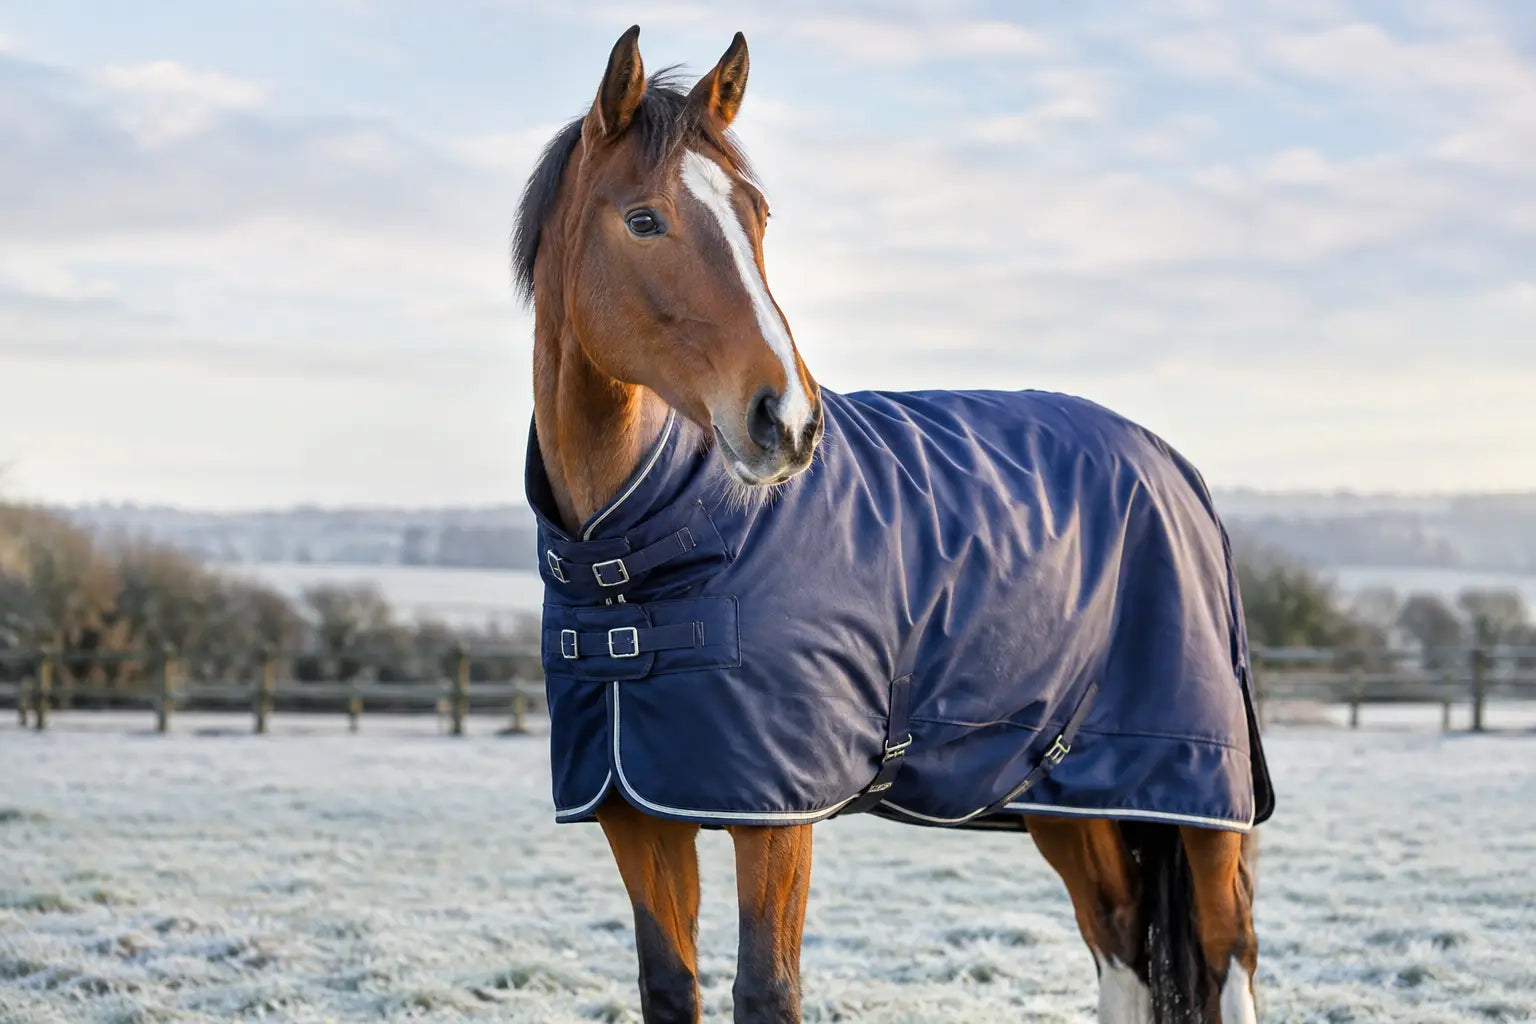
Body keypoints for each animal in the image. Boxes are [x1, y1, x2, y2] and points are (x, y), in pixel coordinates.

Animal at [514, 26, 1270, 1023]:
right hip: (1070, 797)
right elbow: (669, 987)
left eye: (758, 217)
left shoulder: (776, 817)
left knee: (1226, 951)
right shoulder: (635, 814)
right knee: (1119, 943)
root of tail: (1177, 469)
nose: (787, 421)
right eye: (643, 220)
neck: (636, 552)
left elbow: (767, 990)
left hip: (1199, 799)